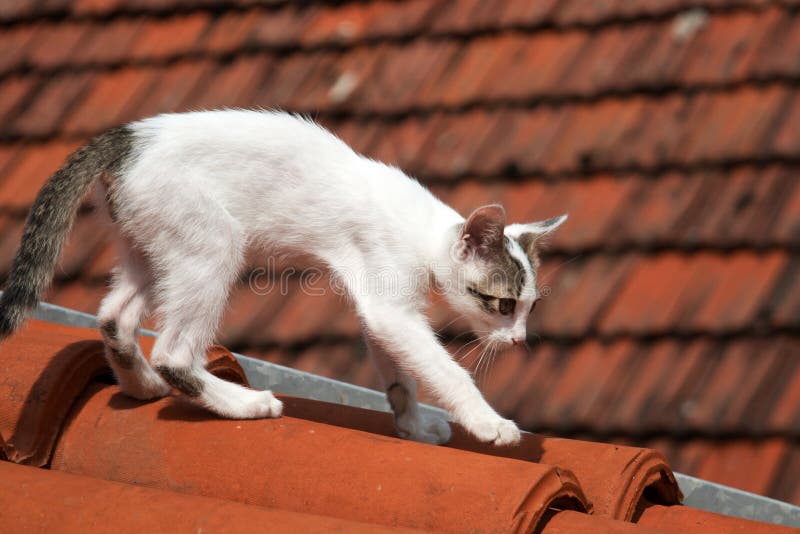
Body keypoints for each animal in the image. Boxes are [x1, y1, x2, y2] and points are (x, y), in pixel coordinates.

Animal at [0, 111, 564, 450]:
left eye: (531, 307)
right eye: (502, 304)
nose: (519, 340)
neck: (424, 230)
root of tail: (129, 138)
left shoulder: (376, 304)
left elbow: (400, 374)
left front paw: (413, 427)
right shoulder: (390, 306)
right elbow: (446, 371)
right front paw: (490, 424)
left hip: (152, 245)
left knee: (115, 316)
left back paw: (141, 385)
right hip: (213, 241)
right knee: (175, 351)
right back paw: (242, 404)